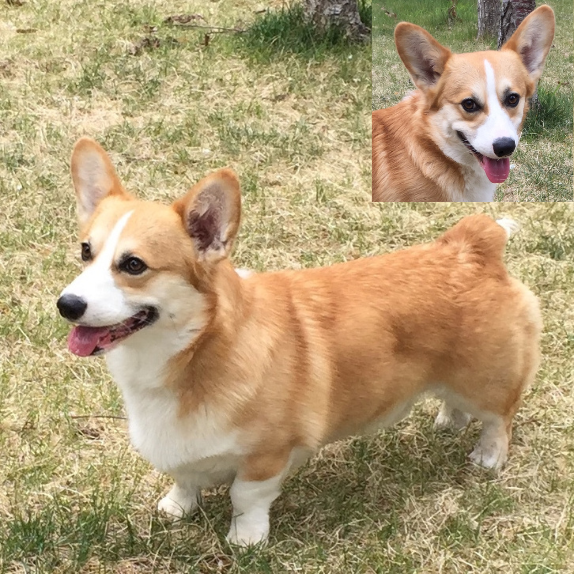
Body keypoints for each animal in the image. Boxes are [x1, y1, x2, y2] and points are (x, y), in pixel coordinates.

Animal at [58, 138, 544, 544]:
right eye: (85, 251)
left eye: (134, 265)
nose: (67, 304)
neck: (196, 348)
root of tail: (474, 245)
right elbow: (185, 478)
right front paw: (176, 508)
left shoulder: (267, 456)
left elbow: (245, 498)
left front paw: (245, 541)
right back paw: (448, 420)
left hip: (486, 380)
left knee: (500, 419)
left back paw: (487, 457)